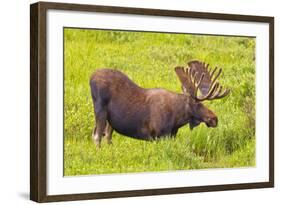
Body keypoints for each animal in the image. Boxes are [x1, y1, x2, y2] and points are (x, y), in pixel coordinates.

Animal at [90, 60, 230, 147]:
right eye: (197, 104)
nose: (214, 118)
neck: (177, 119)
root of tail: (90, 78)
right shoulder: (159, 135)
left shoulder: (171, 135)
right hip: (100, 110)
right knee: (97, 136)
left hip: (110, 121)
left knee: (107, 136)